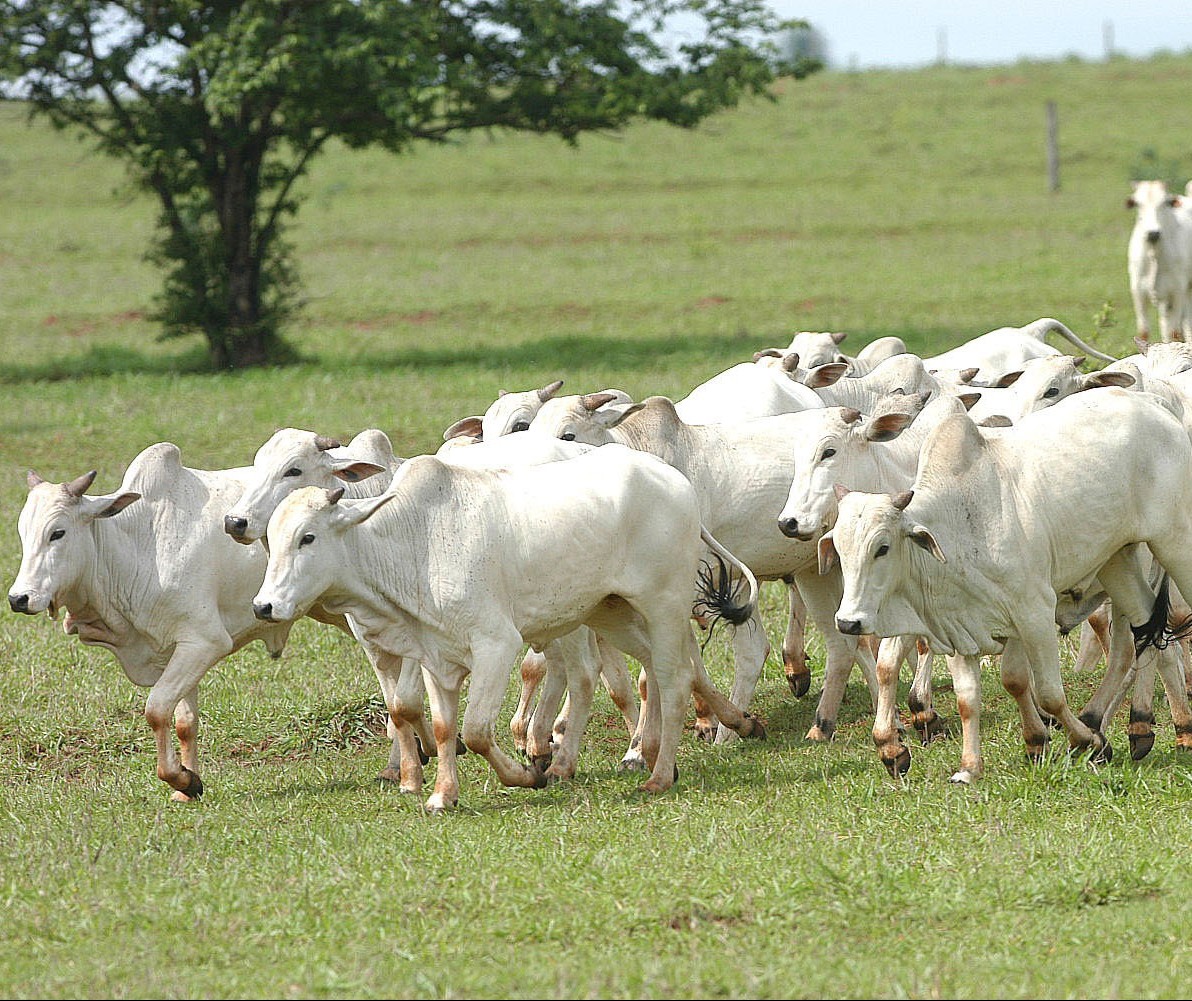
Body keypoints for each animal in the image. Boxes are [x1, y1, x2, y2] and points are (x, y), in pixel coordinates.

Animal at [12, 443, 298, 796]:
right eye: (23, 533)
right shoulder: (175, 649)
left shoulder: (205, 642)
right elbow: (185, 722)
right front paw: (186, 786)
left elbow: (157, 710)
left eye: (58, 533)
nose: (18, 598)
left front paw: (181, 779)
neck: (140, 548)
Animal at [251, 445, 762, 815]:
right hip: (609, 612)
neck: (415, 545)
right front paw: (442, 794)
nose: (263, 605)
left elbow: (476, 730)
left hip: (662, 606)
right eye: (271, 540)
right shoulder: (435, 657)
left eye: (308, 537)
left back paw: (658, 774)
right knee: (661, 669)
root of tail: (674, 480)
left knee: (673, 680)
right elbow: (443, 727)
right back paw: (720, 729)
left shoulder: (496, 645)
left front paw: (525, 775)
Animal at [824, 386, 1192, 786]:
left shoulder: (1034, 611)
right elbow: (972, 696)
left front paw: (1085, 742)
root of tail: (1153, 406)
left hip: (1174, 543)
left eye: (883, 547)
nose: (847, 622)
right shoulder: (961, 625)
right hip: (1117, 562)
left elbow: (1048, 694)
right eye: (839, 549)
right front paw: (971, 766)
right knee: (1145, 638)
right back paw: (1125, 727)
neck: (960, 523)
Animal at [1125, 182, 1192, 345]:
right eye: (1137, 203)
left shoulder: (1176, 292)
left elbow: (1174, 333)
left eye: (1166, 202)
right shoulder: (1138, 292)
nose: (1153, 233)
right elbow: (1143, 332)